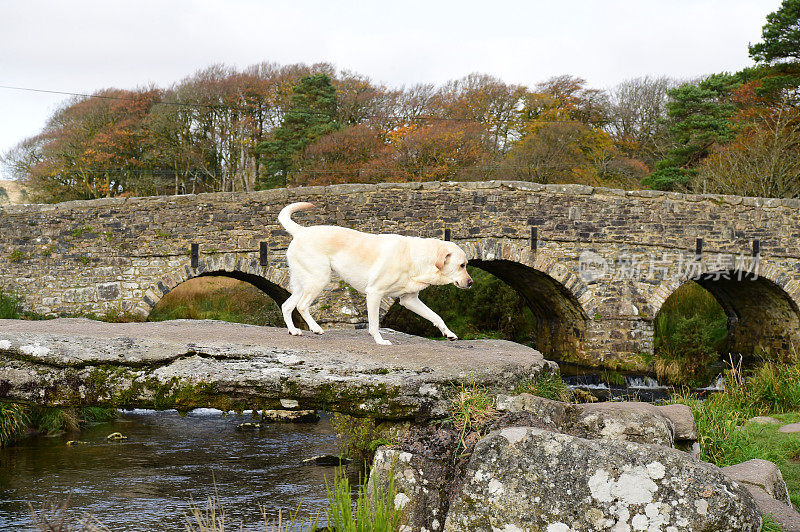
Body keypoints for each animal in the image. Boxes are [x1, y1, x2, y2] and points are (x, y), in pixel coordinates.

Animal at [278, 203, 472, 344]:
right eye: (462, 265)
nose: (470, 283)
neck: (415, 258)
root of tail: (302, 231)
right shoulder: (374, 293)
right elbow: (374, 324)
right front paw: (380, 341)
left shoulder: (410, 300)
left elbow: (435, 316)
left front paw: (449, 333)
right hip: (319, 279)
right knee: (301, 306)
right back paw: (316, 328)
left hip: (303, 284)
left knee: (287, 306)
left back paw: (294, 330)